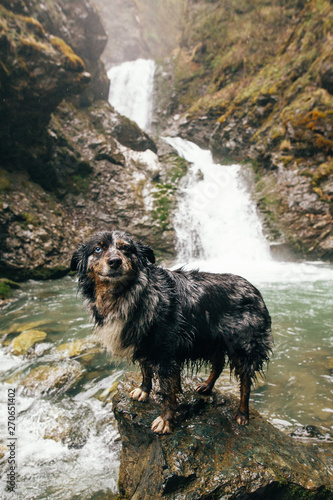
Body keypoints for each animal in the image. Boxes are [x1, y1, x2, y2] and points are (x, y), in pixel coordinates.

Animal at [71, 230, 272, 434]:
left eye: (126, 248)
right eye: (98, 249)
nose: (114, 261)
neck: (125, 296)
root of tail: (255, 290)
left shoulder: (165, 352)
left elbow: (168, 391)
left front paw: (166, 419)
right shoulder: (144, 343)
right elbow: (146, 370)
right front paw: (144, 390)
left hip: (243, 346)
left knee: (245, 381)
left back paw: (243, 413)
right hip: (212, 340)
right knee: (218, 364)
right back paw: (207, 386)